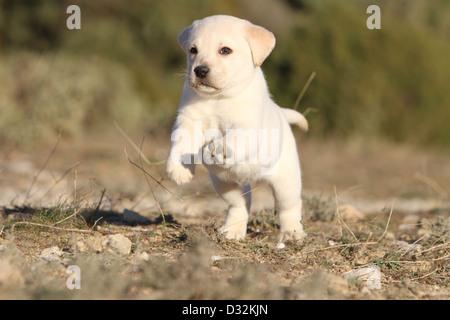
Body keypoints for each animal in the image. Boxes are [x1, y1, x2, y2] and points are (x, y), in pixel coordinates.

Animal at [167, 15, 308, 242]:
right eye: (193, 50)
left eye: (225, 50)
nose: (200, 70)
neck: (218, 98)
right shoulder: (189, 120)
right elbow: (181, 141)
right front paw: (179, 168)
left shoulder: (247, 125)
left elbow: (236, 137)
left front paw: (221, 149)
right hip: (226, 185)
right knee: (241, 204)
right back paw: (232, 231)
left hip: (286, 182)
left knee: (290, 207)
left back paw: (292, 233)